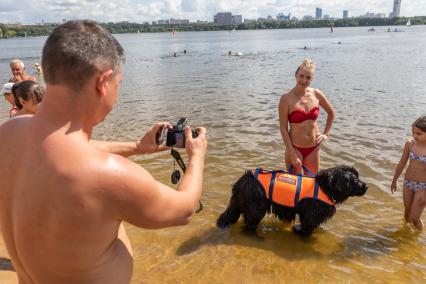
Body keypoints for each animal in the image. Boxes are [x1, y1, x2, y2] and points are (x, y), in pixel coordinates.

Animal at [218, 165, 368, 236]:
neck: (325, 187)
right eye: (355, 180)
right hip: (256, 207)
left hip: (237, 202)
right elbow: (307, 228)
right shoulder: (312, 215)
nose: (366, 186)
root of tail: (243, 180)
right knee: (250, 223)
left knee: (229, 215)